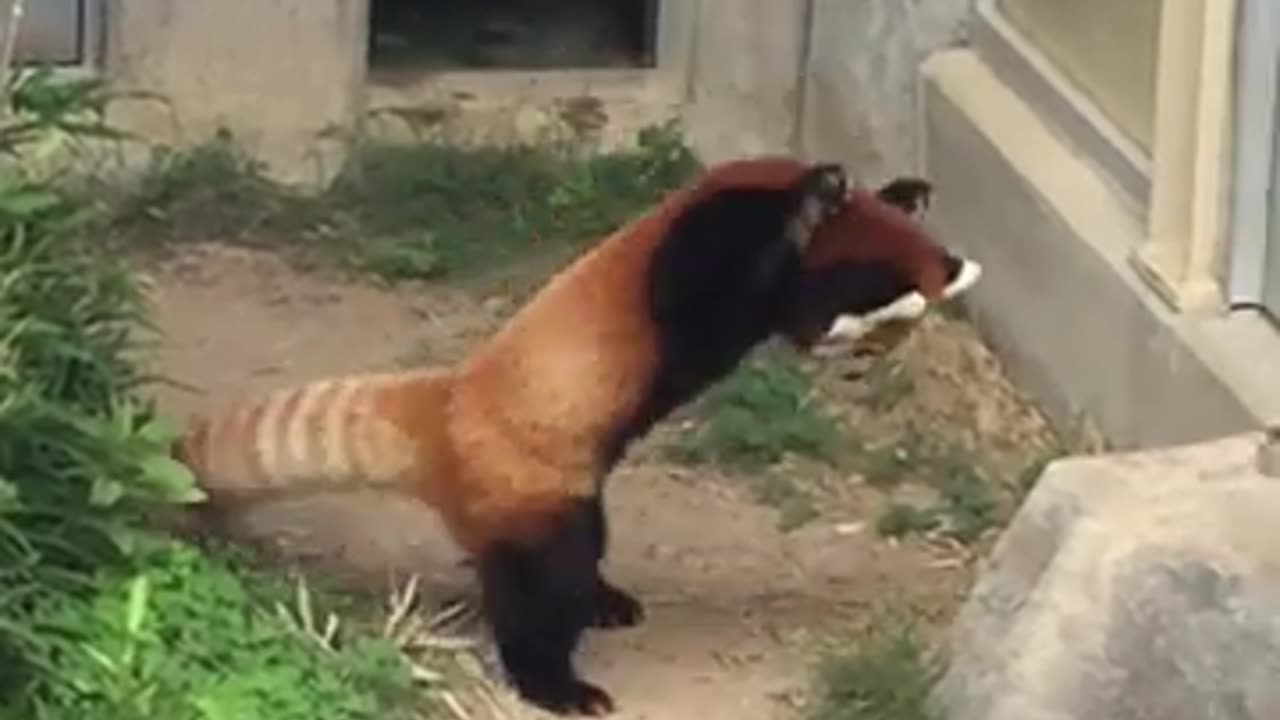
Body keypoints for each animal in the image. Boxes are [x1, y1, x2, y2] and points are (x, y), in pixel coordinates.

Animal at [170, 155, 967, 712]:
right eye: (880, 303)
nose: (856, 358)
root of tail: (449, 405)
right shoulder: (703, 245)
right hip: (530, 487)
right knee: (542, 585)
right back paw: (554, 681)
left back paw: (604, 599)